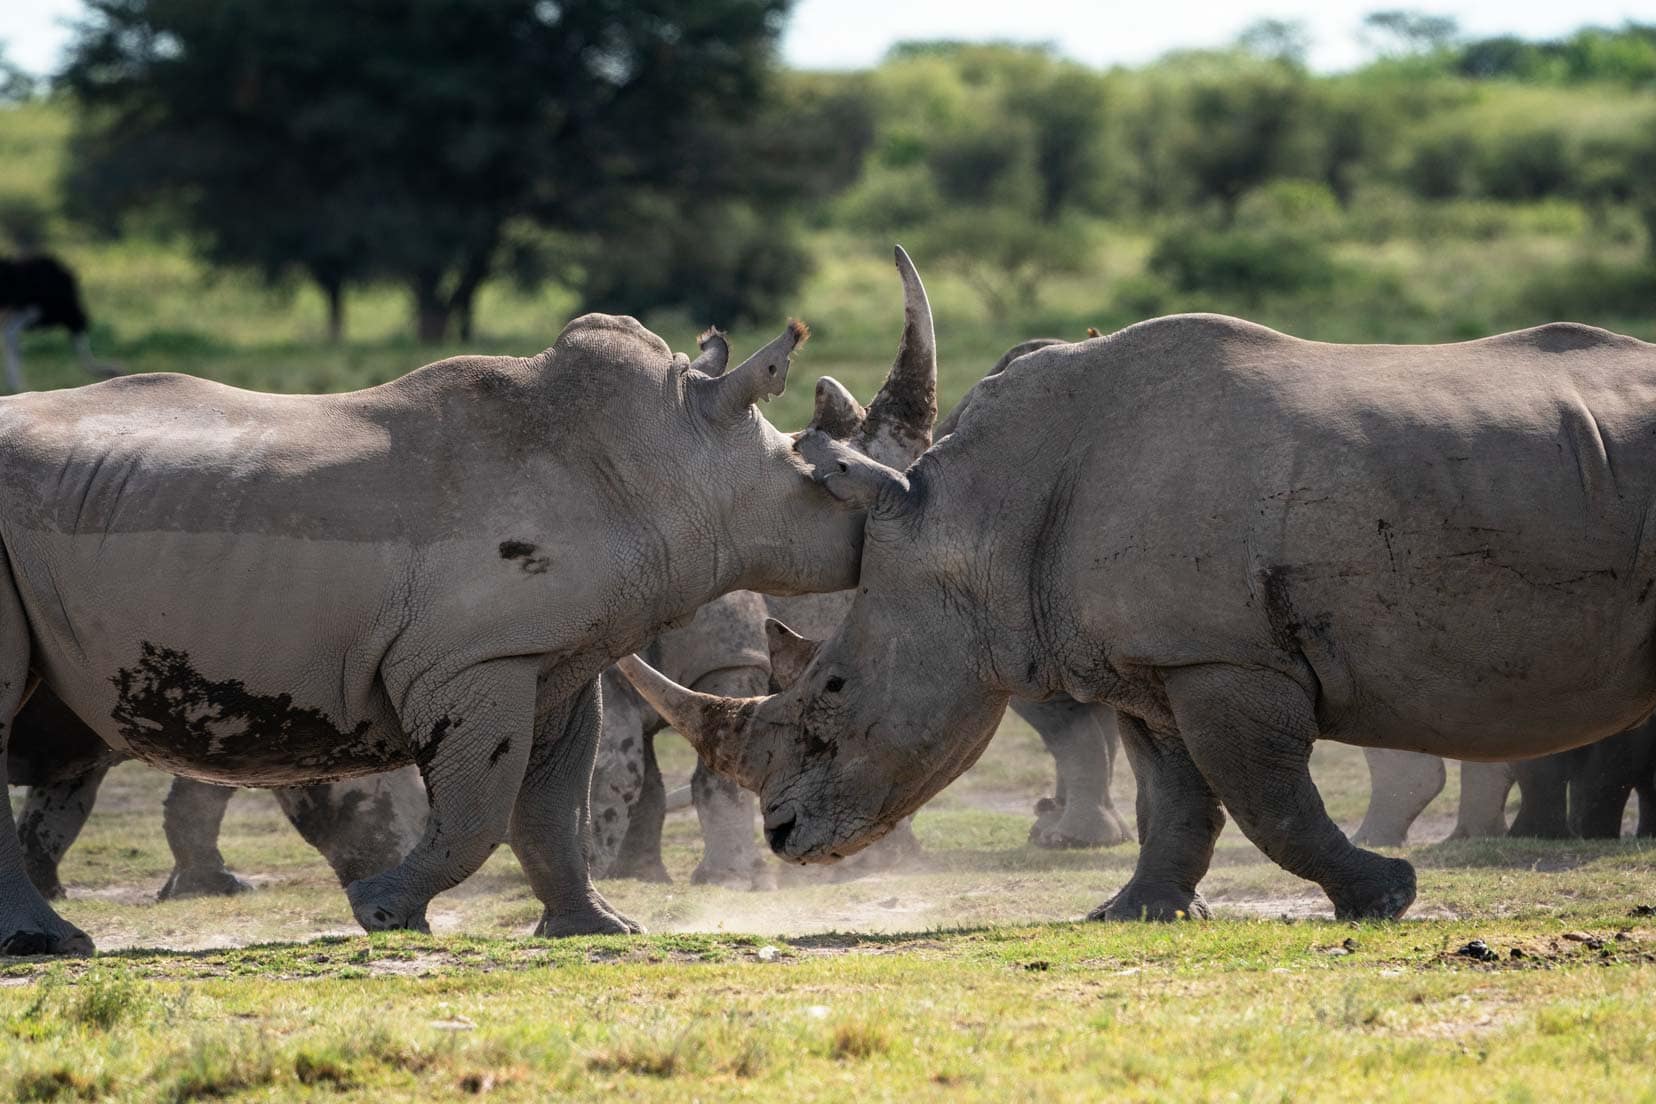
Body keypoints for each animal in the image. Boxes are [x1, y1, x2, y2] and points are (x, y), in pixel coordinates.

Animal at [625, 312, 1656, 926]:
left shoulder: (1223, 658)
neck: (978, 518)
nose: (784, 838)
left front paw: (1385, 896)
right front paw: (1139, 913)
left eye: (835, 689)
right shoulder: (1159, 663)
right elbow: (1180, 797)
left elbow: (1269, 799)